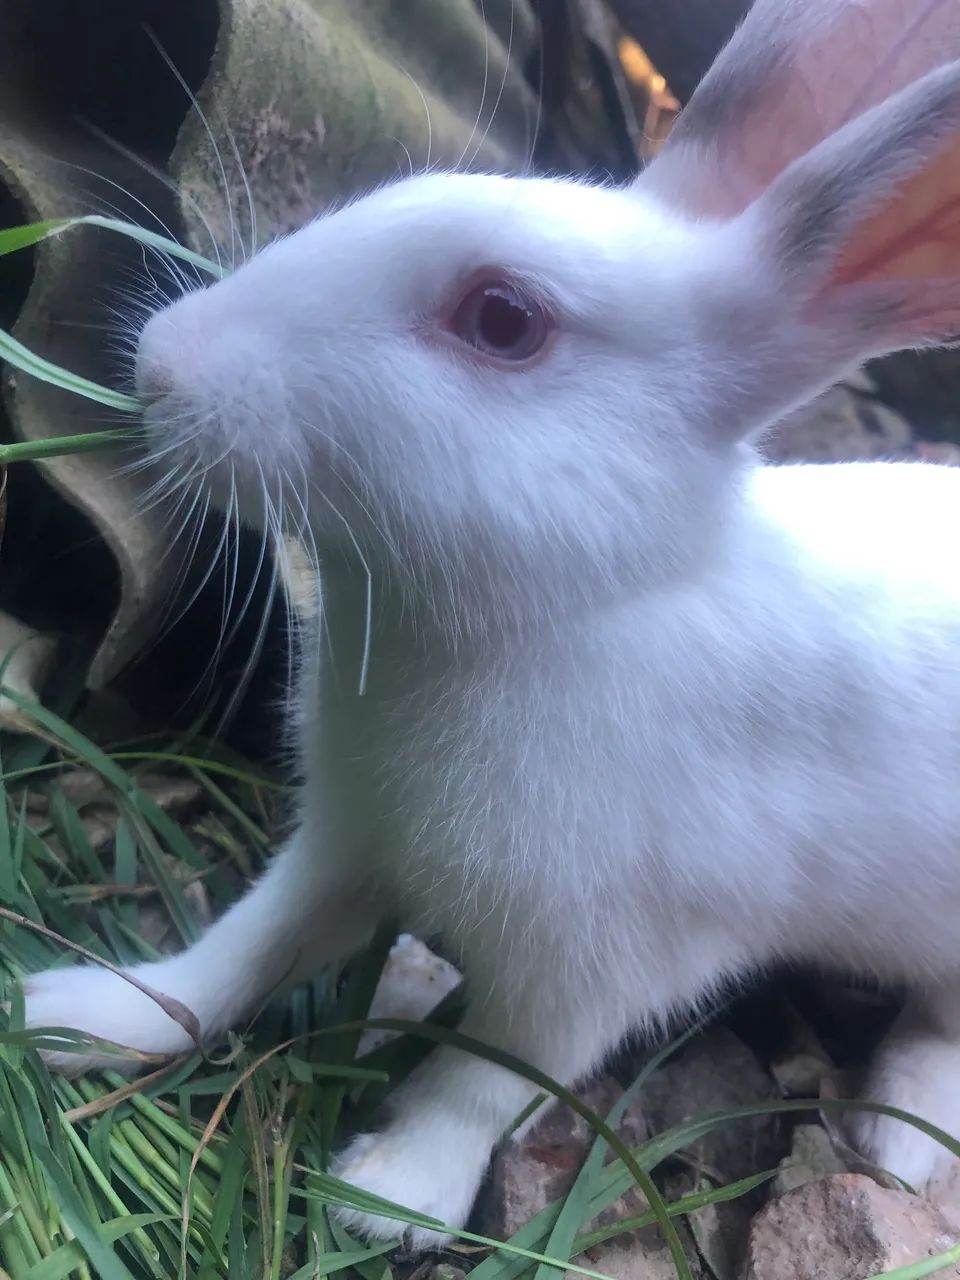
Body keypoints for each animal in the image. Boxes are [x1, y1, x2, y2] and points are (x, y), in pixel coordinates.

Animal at [22, 0, 960, 1249]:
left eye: (504, 319)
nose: (161, 361)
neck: (578, 608)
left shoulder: (602, 961)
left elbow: (490, 1076)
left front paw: (384, 1192)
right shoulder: (342, 840)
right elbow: (240, 950)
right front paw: (80, 1011)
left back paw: (900, 1134)